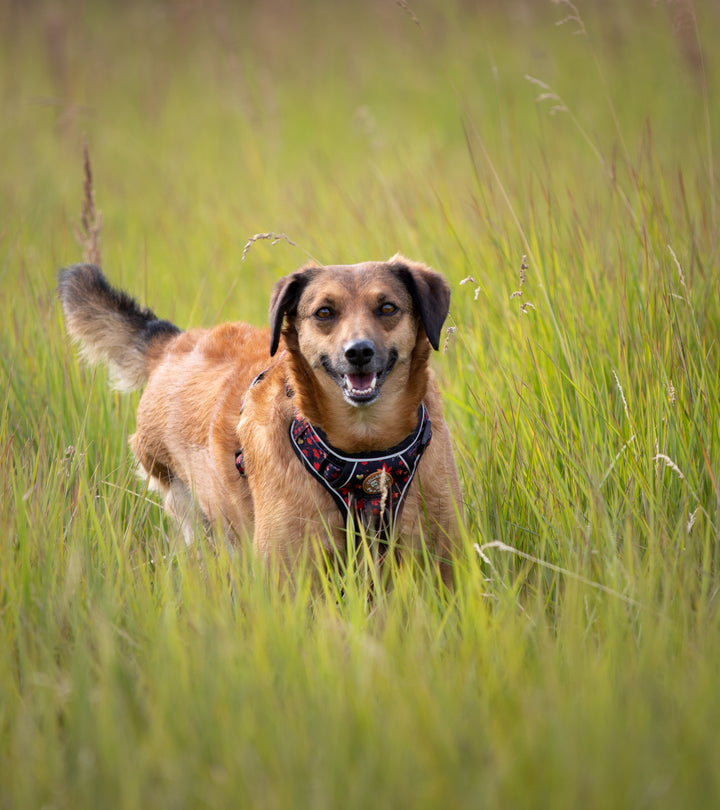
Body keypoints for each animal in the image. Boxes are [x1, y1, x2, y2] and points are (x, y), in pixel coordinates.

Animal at [57, 256, 462, 576]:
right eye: (324, 312)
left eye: (388, 308)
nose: (358, 352)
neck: (365, 453)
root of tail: (173, 342)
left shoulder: (438, 559)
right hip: (191, 511)